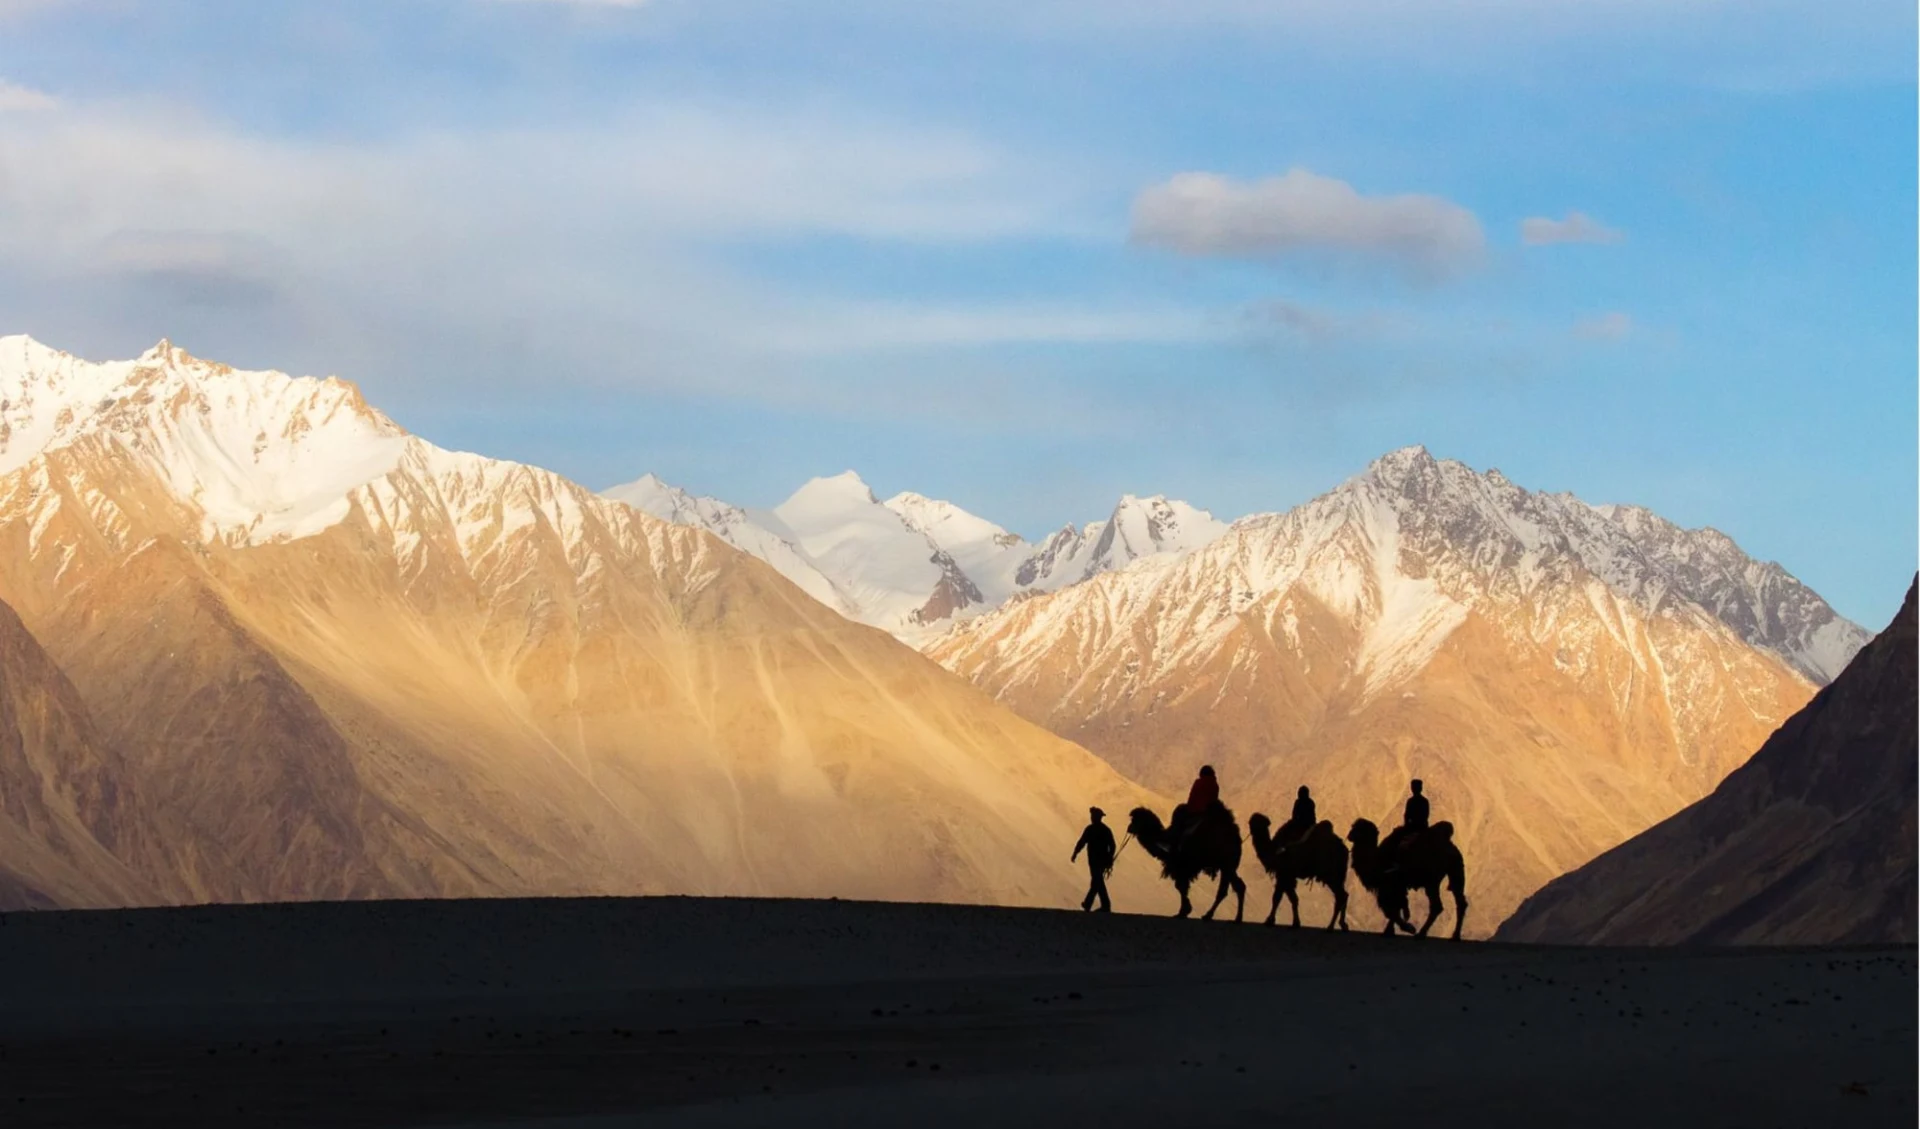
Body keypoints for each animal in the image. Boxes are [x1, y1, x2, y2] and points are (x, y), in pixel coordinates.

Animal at [1121, 806, 1251, 921]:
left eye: (1135, 820)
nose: (1128, 828)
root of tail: (1236, 838)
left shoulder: (1182, 865)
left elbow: (1180, 886)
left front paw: (1184, 911)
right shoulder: (1182, 867)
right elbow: (1181, 886)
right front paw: (1184, 911)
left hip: (1226, 864)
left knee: (1226, 889)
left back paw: (1210, 915)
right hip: (1228, 866)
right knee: (1237, 887)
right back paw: (1235, 918)